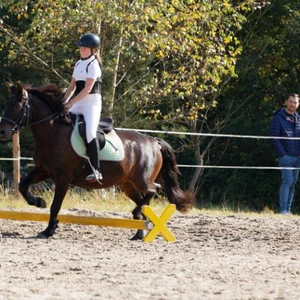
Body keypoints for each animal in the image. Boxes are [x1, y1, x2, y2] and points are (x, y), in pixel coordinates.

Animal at [0, 82, 196, 239]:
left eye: (18, 104)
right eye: (7, 103)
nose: (3, 132)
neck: (53, 133)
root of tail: (154, 141)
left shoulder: (63, 178)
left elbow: (55, 206)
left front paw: (48, 230)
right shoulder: (43, 170)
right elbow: (22, 186)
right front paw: (38, 202)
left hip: (142, 180)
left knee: (154, 189)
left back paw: (138, 216)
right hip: (128, 185)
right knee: (143, 198)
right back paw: (139, 232)